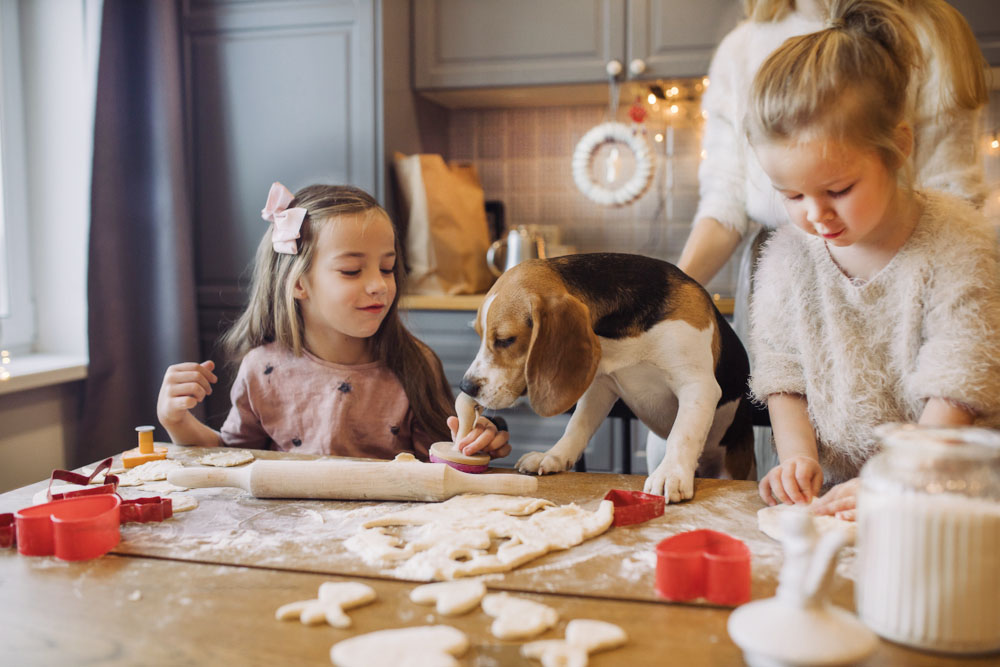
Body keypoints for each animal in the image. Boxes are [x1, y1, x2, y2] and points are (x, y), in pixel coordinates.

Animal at [458, 254, 752, 500]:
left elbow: (683, 435)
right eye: (478, 334)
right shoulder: (600, 387)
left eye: (506, 340)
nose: (465, 386)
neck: (623, 333)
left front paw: (671, 473)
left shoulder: (698, 385)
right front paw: (553, 456)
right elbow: (576, 426)